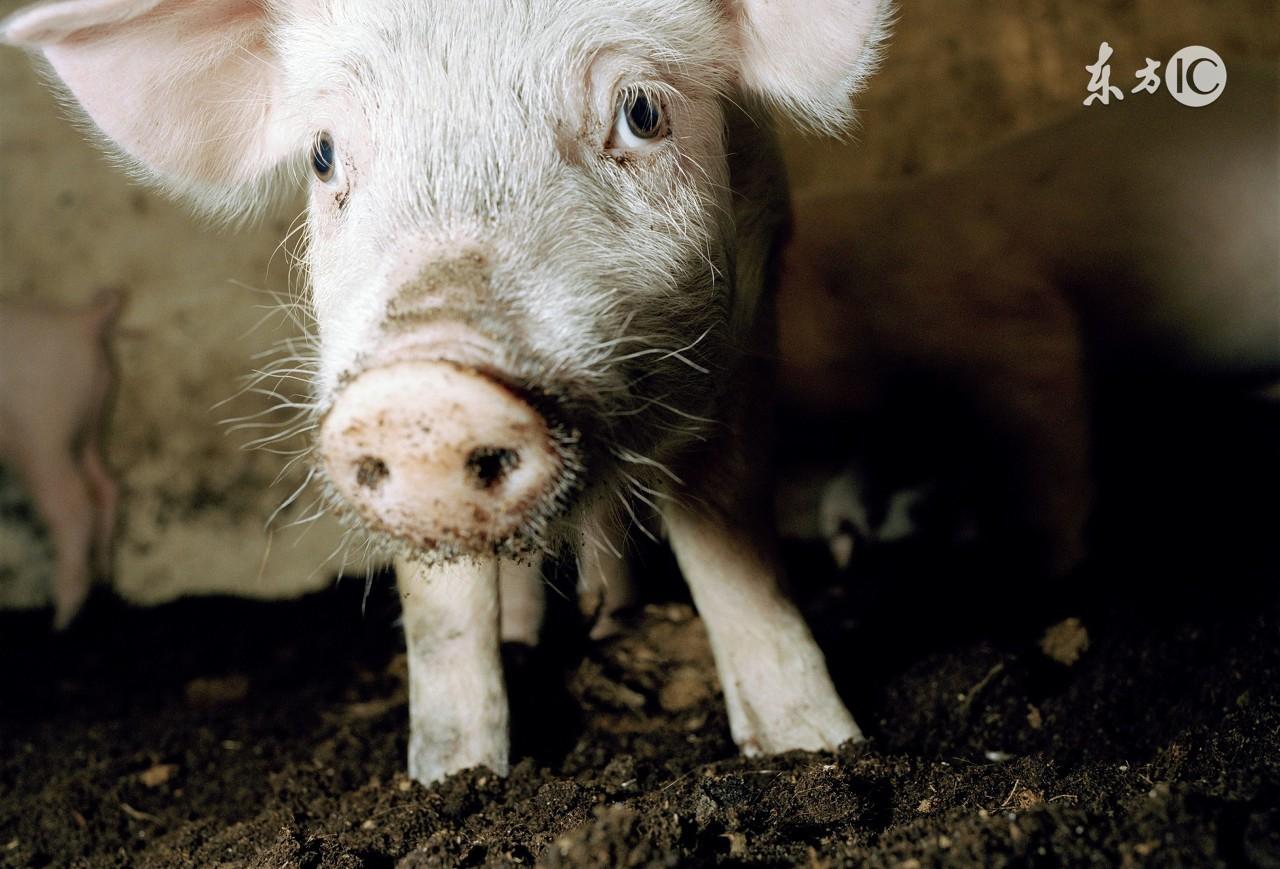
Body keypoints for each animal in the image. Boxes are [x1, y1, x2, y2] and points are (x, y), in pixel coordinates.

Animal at [0, 289, 123, 629]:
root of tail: (82, 321)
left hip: (40, 432)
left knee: (72, 505)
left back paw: (62, 620)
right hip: (89, 426)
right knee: (105, 486)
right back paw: (104, 581)